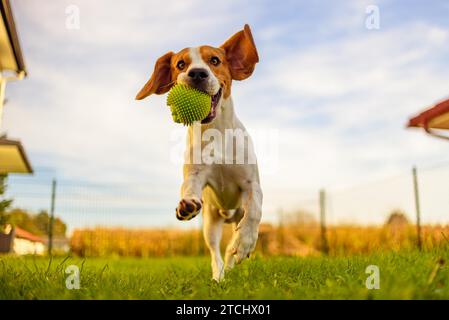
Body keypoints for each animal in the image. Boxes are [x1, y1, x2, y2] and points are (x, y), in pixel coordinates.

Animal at [136, 24, 262, 280]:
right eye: (180, 64)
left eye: (215, 60)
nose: (197, 73)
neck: (215, 133)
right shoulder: (195, 174)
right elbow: (188, 187)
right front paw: (186, 204)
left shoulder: (252, 184)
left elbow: (254, 210)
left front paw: (245, 243)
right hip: (210, 223)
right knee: (215, 253)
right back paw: (219, 276)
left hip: (236, 214)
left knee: (232, 242)